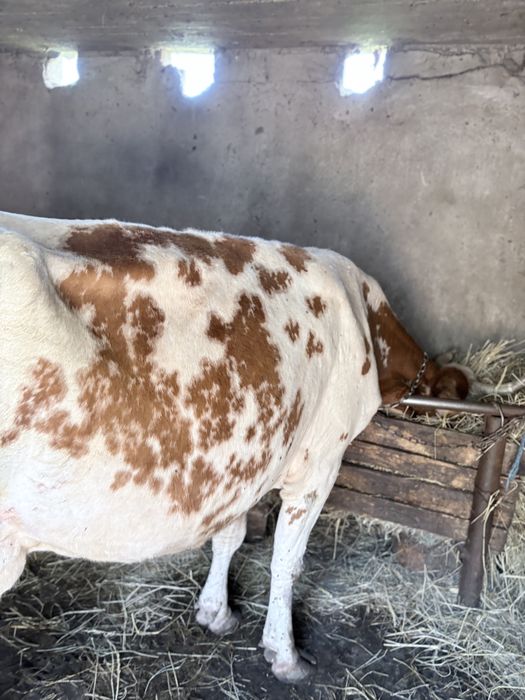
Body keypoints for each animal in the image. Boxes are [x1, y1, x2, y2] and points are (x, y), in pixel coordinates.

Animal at [0, 211, 469, 683]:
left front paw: (215, 611)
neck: (367, 321)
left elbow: (229, 535)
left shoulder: (243, 462)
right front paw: (284, 653)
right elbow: (287, 560)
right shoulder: (320, 461)